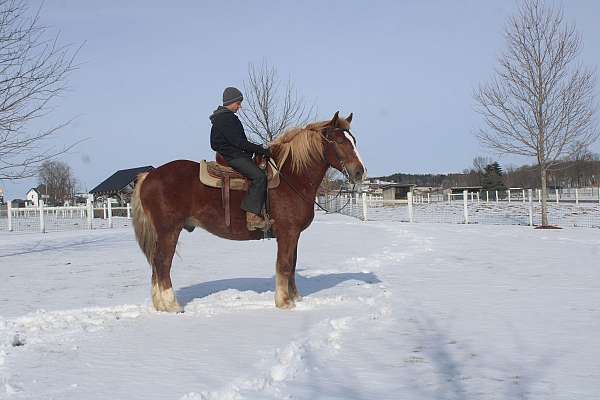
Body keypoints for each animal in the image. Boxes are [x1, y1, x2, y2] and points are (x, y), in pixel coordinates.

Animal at [131, 111, 366, 312]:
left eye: (353, 140)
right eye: (340, 141)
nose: (360, 172)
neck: (291, 177)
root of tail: (149, 176)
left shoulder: (294, 234)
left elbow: (292, 264)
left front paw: (295, 298)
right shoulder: (287, 232)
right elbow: (284, 264)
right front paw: (284, 302)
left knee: (156, 265)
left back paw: (160, 305)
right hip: (169, 231)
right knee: (162, 263)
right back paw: (171, 305)